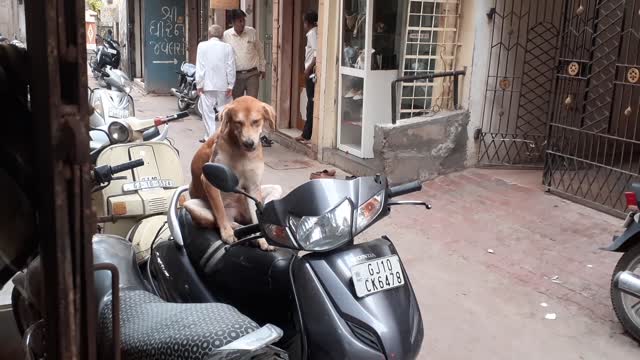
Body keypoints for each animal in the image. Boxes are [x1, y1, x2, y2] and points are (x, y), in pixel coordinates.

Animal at [185, 97, 276, 252]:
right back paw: (238, 230)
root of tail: (235, 215)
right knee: (219, 221)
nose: (249, 143)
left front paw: (264, 240)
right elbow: (219, 210)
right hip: (192, 206)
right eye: (238, 122)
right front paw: (226, 233)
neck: (241, 151)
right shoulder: (209, 180)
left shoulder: (253, 187)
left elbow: (258, 216)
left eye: (256, 121)